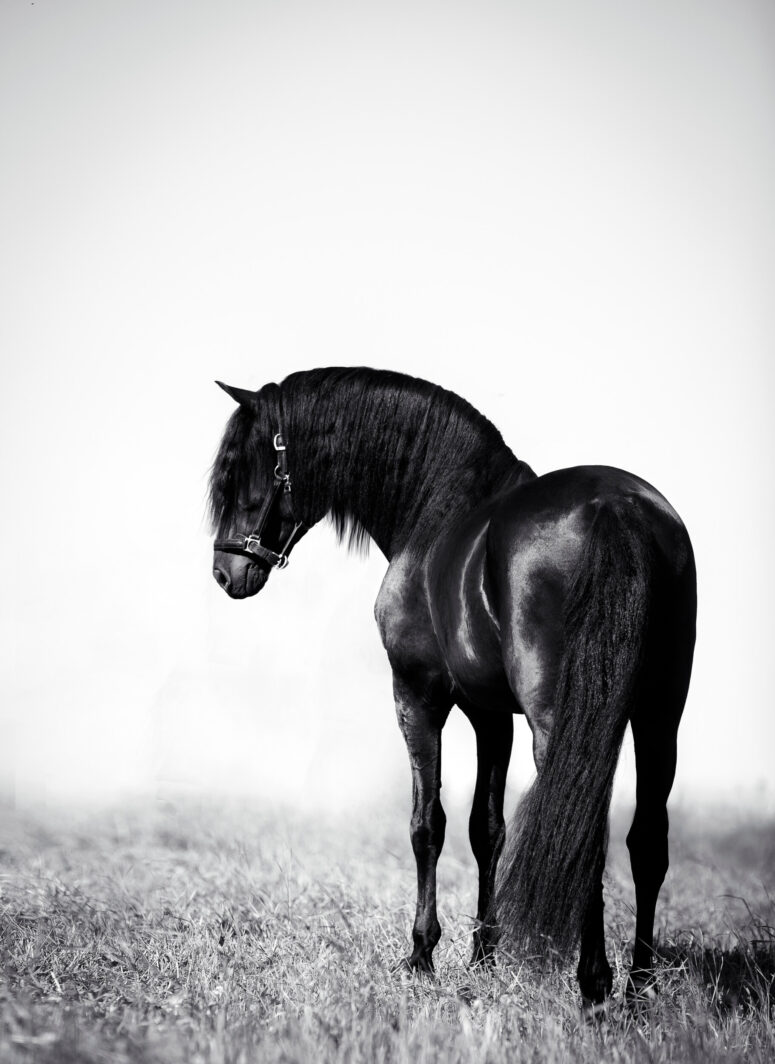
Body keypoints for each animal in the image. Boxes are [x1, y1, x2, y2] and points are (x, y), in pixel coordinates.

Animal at [209, 367, 696, 1006]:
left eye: (244, 469)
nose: (225, 572)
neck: (437, 513)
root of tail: (618, 510)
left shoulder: (418, 699)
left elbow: (428, 824)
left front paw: (421, 954)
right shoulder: (491, 715)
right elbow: (486, 828)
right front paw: (483, 955)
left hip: (561, 720)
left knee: (582, 823)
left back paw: (593, 983)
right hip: (661, 716)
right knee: (647, 840)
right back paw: (638, 983)